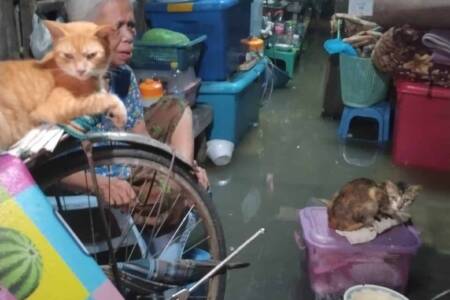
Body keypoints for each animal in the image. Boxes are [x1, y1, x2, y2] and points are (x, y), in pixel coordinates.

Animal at [0, 20, 127, 149]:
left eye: (91, 55)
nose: (80, 71)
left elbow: (103, 93)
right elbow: (103, 99)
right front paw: (120, 111)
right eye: (68, 55)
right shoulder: (59, 106)